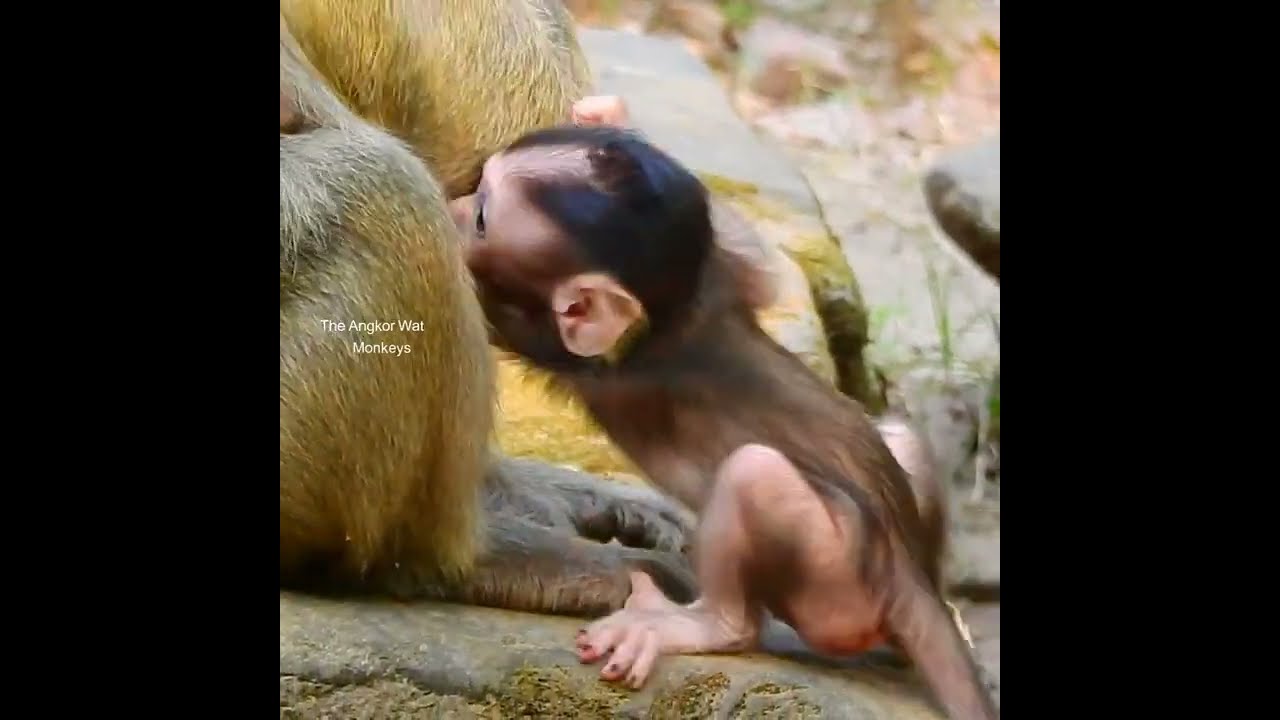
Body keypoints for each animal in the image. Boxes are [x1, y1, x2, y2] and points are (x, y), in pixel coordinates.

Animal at [448, 120, 997, 718]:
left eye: (483, 216)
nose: (453, 207)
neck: (684, 311)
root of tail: (910, 577)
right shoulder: (720, 274)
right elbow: (756, 261)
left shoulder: (590, 354)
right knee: (901, 436)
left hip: (841, 585)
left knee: (752, 472)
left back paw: (706, 626)